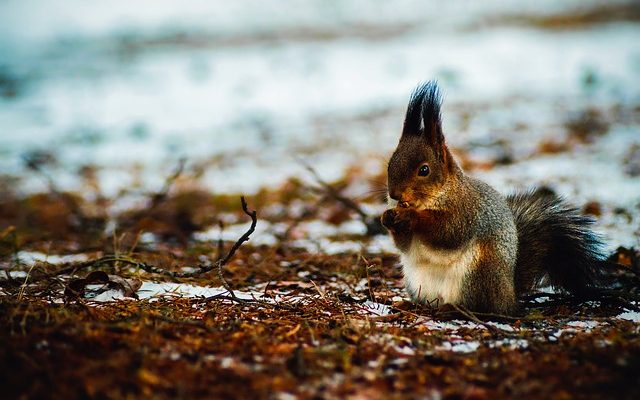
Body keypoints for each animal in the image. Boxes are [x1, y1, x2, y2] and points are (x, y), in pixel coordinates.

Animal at [382, 81, 608, 314]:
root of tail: (509, 295)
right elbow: (404, 245)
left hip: (479, 272)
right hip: (416, 282)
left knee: (478, 305)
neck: (439, 194)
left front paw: (411, 217)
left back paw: (453, 308)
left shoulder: (466, 211)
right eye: (390, 163)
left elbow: (447, 232)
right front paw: (387, 217)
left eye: (424, 170)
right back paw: (409, 303)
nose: (394, 194)